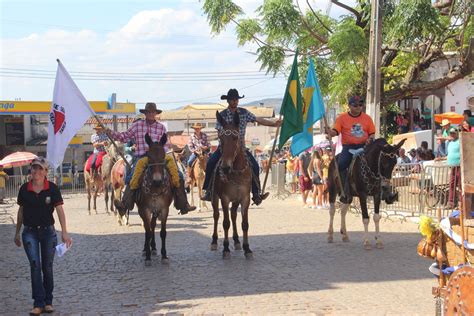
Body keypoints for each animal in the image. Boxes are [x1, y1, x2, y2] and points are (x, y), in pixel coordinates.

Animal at [211, 111, 254, 260]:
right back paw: (214, 241)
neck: (236, 173)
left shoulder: (245, 198)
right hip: (214, 198)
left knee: (234, 214)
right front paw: (225, 248)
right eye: (220, 138)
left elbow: (245, 224)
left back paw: (236, 241)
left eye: (235, 138)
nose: (225, 167)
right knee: (217, 215)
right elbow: (225, 223)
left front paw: (247, 248)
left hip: (236, 200)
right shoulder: (224, 198)